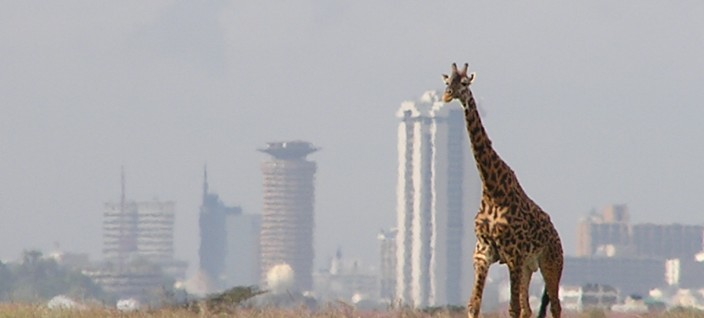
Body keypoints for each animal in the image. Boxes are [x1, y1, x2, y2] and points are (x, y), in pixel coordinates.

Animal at [442, 62, 564, 318]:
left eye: (464, 83)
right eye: (447, 82)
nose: (447, 95)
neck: (492, 190)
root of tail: (555, 233)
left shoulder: (513, 254)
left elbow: (512, 308)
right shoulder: (483, 253)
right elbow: (474, 304)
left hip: (551, 262)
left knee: (556, 305)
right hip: (529, 267)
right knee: (529, 309)